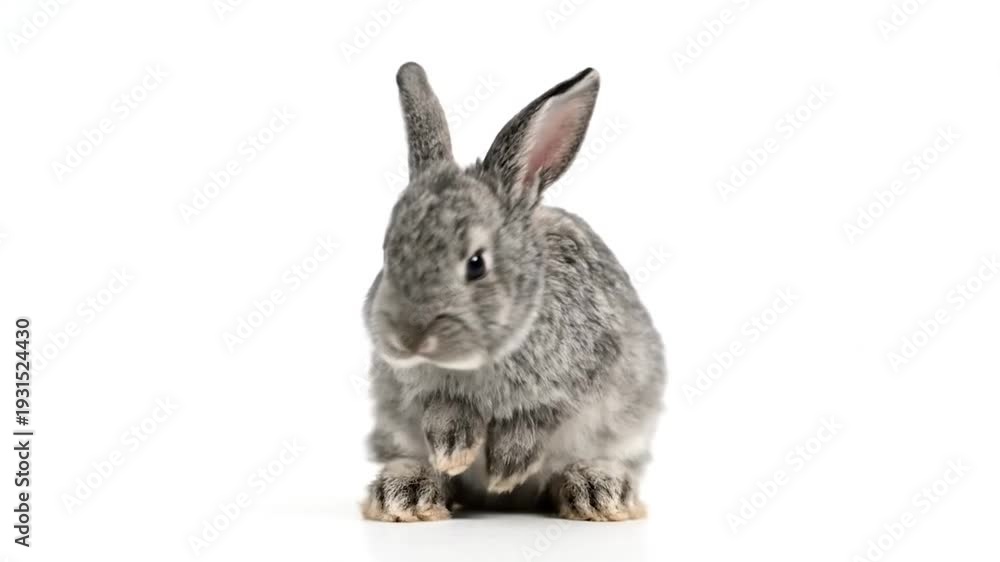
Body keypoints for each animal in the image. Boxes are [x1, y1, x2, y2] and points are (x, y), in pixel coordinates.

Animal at [361, 62, 666, 522]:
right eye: (387, 249)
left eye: (476, 263)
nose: (406, 338)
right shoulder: (414, 389)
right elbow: (441, 411)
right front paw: (455, 451)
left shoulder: (584, 376)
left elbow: (539, 417)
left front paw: (507, 466)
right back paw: (407, 491)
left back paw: (597, 489)